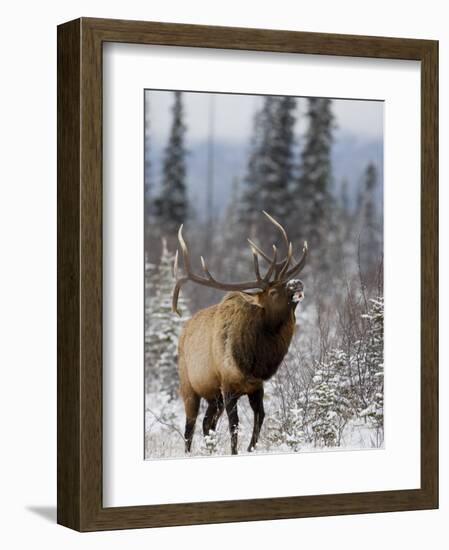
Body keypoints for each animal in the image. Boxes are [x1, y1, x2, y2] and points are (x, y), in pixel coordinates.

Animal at [172, 212, 308, 458]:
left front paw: (250, 448)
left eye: (286, 282)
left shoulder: (256, 386)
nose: (297, 282)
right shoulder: (228, 386)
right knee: (190, 426)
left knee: (207, 423)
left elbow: (260, 418)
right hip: (188, 385)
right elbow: (234, 425)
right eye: (273, 291)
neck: (255, 360)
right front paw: (235, 452)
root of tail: (183, 333)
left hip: (213, 395)